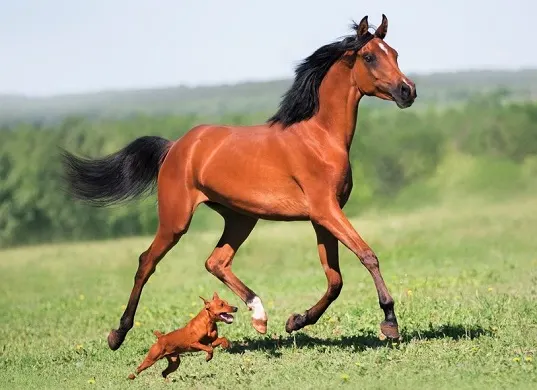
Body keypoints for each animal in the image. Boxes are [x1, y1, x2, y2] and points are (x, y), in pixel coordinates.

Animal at [61, 15, 414, 352]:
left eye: (395, 53)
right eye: (369, 56)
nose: (407, 91)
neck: (319, 138)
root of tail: (175, 147)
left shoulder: (323, 216)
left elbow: (335, 280)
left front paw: (296, 321)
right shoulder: (325, 210)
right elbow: (367, 255)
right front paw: (390, 322)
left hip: (241, 217)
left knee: (215, 262)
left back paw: (259, 315)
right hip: (176, 220)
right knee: (146, 262)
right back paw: (117, 334)